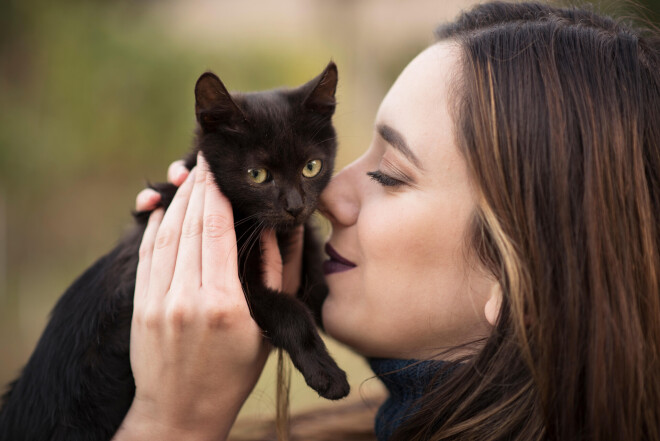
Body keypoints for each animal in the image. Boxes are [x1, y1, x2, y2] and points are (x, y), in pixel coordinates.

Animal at [0, 61, 350, 440]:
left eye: (311, 167)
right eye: (257, 174)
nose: (295, 207)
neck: (265, 229)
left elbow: (330, 299)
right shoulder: (239, 289)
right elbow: (291, 312)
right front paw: (328, 374)